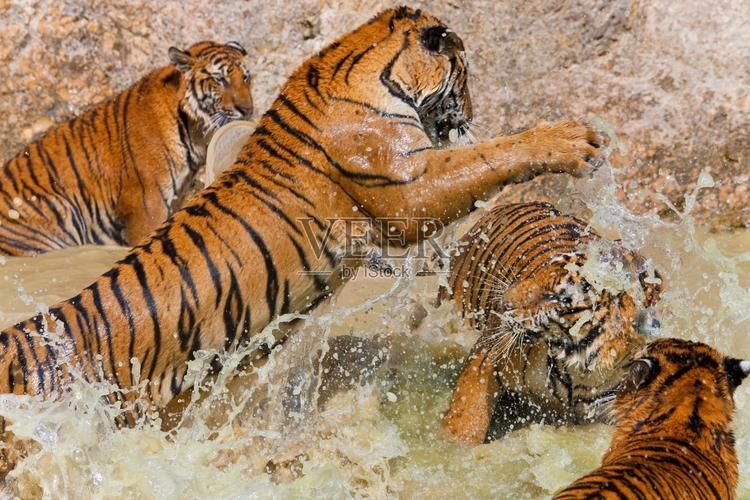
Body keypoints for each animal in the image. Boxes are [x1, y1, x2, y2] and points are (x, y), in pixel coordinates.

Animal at [440, 202, 663, 444]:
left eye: (554, 296)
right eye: (540, 272)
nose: (503, 303)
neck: (582, 370)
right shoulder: (488, 355)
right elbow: (468, 411)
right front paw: (454, 446)